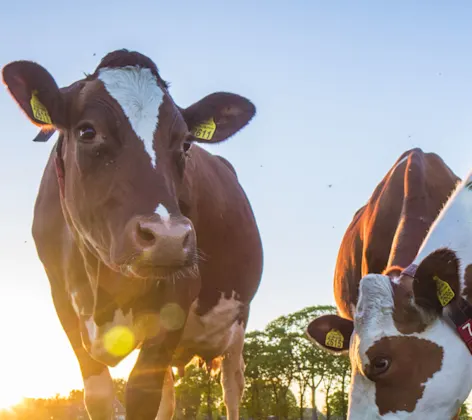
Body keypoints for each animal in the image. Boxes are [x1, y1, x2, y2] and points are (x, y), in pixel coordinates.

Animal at [1, 50, 264, 420]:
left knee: (231, 387)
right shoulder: (62, 300)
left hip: (237, 323)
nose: (168, 237)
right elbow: (98, 394)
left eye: (185, 142)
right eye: (87, 131)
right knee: (170, 398)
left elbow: (142, 393)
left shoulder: (178, 294)